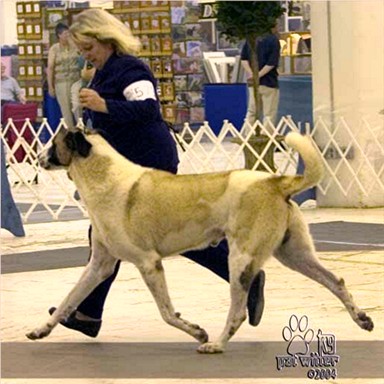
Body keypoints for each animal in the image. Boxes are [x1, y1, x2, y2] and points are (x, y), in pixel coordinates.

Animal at [26, 130, 372, 354]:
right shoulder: (99, 265)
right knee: (336, 281)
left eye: (53, 143)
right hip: (295, 255)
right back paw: (362, 319)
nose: (38, 157)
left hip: (241, 259)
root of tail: (275, 182)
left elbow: (167, 313)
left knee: (238, 311)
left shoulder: (149, 264)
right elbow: (69, 299)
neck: (103, 176)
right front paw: (41, 329)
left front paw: (196, 331)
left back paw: (216, 343)